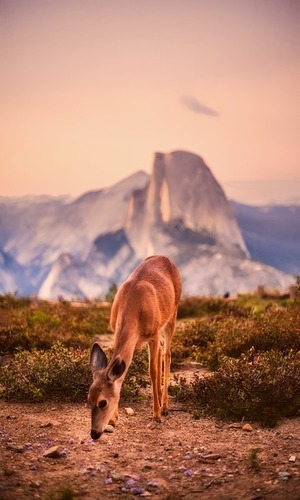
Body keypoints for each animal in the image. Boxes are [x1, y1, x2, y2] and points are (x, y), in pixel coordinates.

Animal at [86, 256, 180, 440]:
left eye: (103, 402)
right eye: (88, 399)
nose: (94, 433)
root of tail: (165, 258)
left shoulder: (153, 334)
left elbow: (152, 371)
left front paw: (156, 415)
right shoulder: (117, 330)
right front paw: (113, 419)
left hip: (172, 315)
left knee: (167, 354)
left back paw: (164, 407)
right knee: (161, 353)